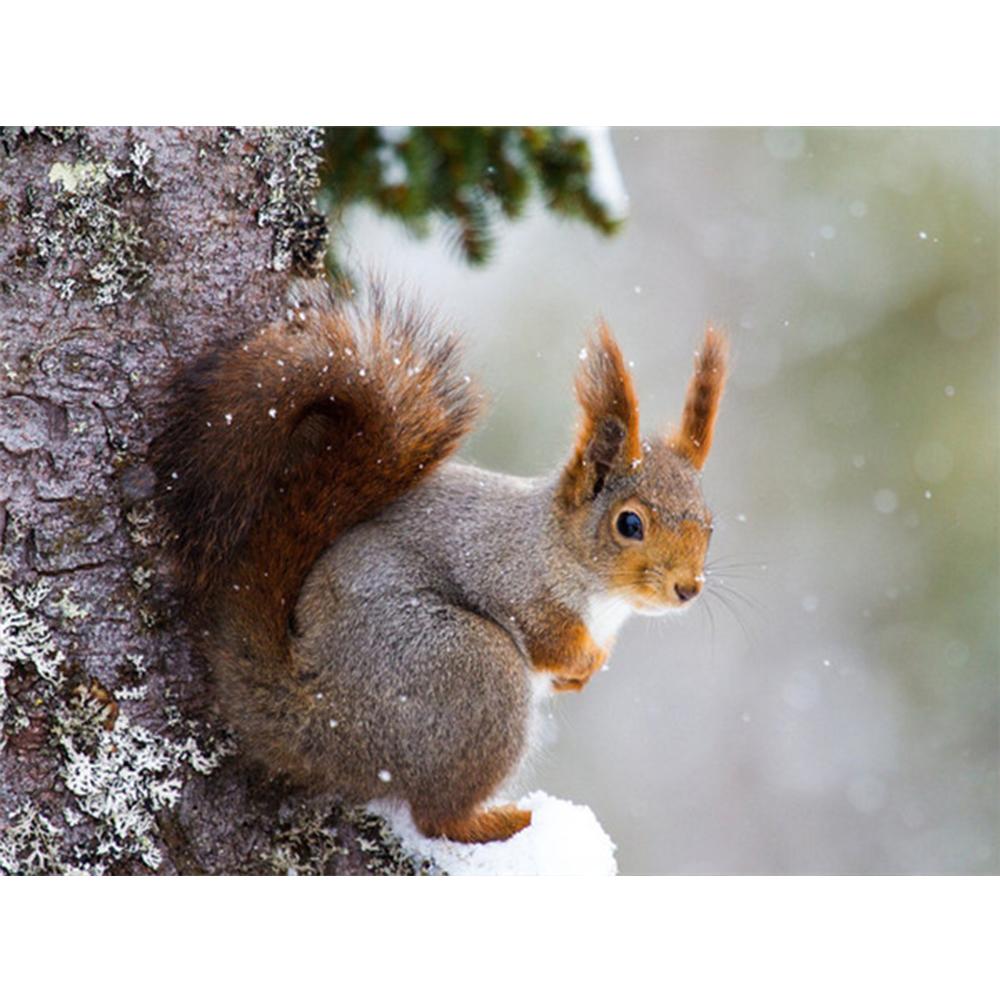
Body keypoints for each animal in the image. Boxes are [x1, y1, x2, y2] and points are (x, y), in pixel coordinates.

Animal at [151, 283, 727, 844]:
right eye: (629, 524)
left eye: (710, 523)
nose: (688, 588)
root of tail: (329, 715)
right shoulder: (510, 575)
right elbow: (547, 636)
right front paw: (581, 661)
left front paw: (584, 674)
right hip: (474, 670)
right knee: (438, 817)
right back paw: (501, 822)